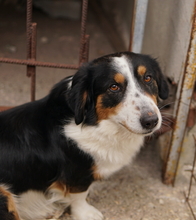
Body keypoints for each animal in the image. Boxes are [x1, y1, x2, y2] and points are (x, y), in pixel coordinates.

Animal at [0, 52, 168, 220]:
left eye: (148, 78)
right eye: (113, 87)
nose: (151, 121)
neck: (92, 123)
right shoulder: (76, 174)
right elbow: (79, 196)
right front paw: (86, 213)